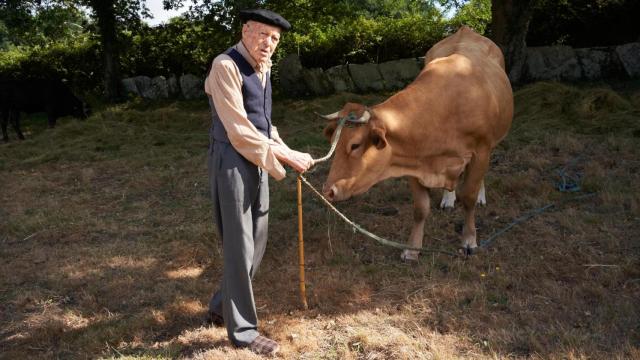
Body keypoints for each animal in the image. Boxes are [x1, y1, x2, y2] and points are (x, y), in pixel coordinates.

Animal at [322, 26, 512, 260]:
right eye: (333, 142)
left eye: (355, 145)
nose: (328, 191)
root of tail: (465, 29)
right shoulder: (412, 159)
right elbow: (420, 208)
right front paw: (412, 249)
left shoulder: (481, 150)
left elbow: (468, 196)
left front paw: (469, 240)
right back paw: (448, 198)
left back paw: (479, 197)